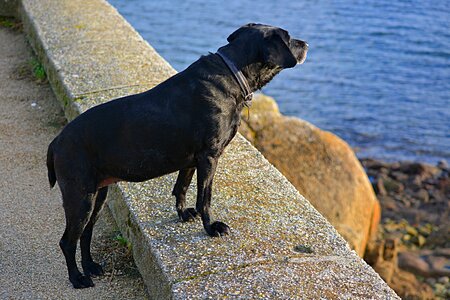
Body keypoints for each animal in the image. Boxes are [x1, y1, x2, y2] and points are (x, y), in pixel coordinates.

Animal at [46, 24, 306, 288]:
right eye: (288, 38)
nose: (305, 44)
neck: (232, 74)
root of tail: (56, 142)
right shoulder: (209, 157)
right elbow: (204, 198)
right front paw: (210, 227)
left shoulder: (191, 161)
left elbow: (181, 187)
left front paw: (182, 214)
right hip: (80, 197)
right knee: (67, 240)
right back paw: (77, 277)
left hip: (97, 194)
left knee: (86, 232)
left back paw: (90, 266)